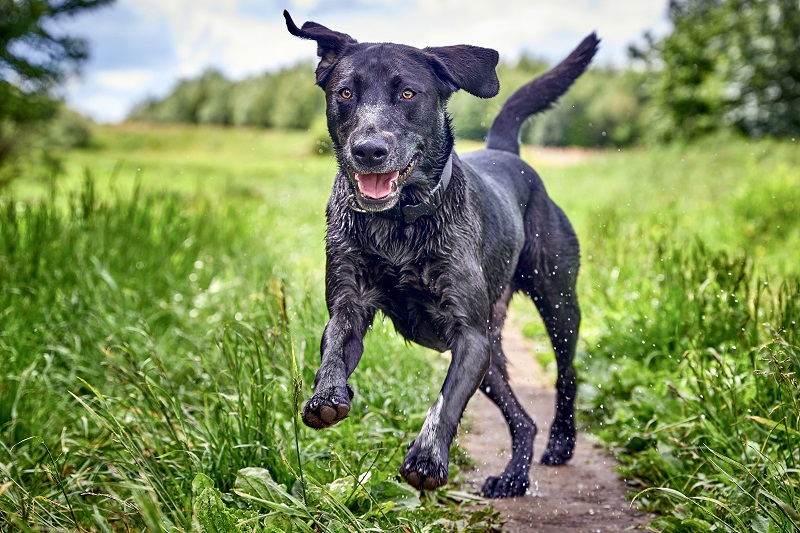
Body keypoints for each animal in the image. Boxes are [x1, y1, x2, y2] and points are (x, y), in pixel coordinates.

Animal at [284, 10, 596, 496]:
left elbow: (445, 401)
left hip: (556, 302)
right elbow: (333, 349)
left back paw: (561, 443)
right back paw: (513, 477)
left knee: (567, 375)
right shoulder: (350, 303)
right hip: (493, 354)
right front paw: (328, 395)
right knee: (523, 420)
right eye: (345, 92)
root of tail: (505, 153)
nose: (368, 150)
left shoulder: (468, 336)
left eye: (408, 93)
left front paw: (427, 458)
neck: (398, 223)